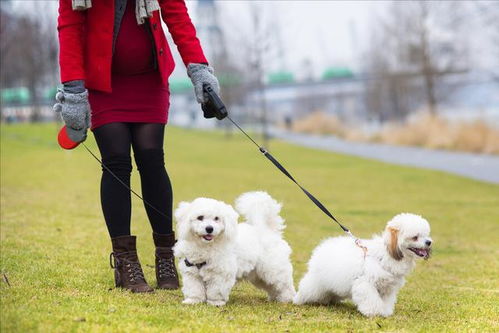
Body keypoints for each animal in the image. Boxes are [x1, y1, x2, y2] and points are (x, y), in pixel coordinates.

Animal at [294, 213, 432, 316]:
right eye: (415, 237)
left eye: (426, 235)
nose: (429, 242)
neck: (386, 254)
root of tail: (323, 246)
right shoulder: (365, 283)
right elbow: (371, 299)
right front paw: (375, 312)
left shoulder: (387, 288)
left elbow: (386, 301)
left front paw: (385, 312)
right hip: (315, 284)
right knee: (307, 290)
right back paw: (297, 299)